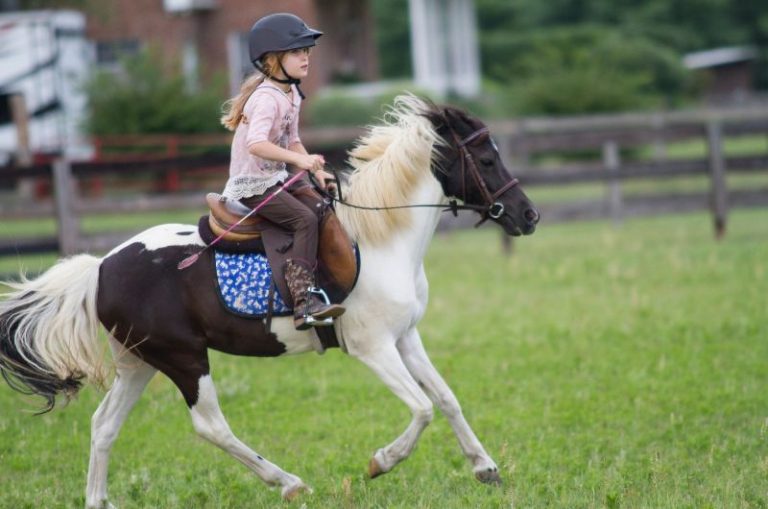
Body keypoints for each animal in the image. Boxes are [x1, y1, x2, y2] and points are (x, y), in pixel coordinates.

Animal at [0, 95, 539, 507]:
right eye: (486, 160)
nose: (528, 215)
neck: (380, 240)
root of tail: (101, 267)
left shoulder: (406, 337)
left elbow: (446, 399)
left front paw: (485, 468)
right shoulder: (373, 347)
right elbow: (423, 408)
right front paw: (380, 463)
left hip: (139, 361)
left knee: (104, 426)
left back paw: (98, 499)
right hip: (183, 358)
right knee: (210, 426)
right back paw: (289, 482)